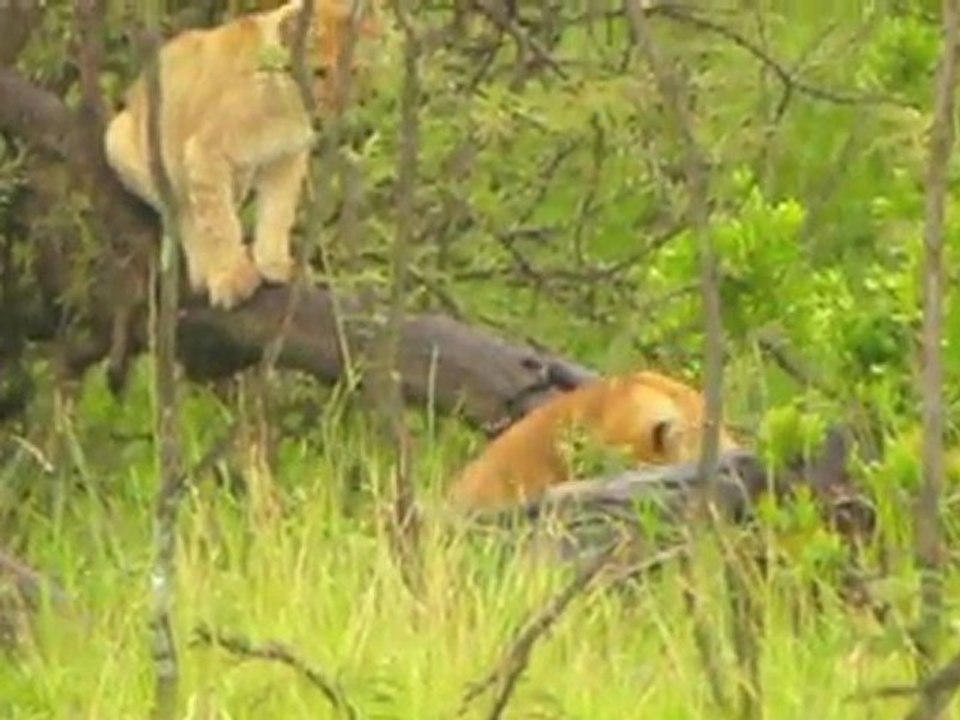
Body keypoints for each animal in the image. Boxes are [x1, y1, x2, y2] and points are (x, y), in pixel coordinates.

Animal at [103, 0, 381, 309]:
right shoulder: (205, 152)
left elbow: (278, 213)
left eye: (355, 70)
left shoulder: (286, 158)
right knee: (182, 211)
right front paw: (232, 277)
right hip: (121, 139)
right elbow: (220, 223)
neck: (288, 104)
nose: (339, 106)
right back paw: (203, 271)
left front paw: (274, 264)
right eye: (320, 72)